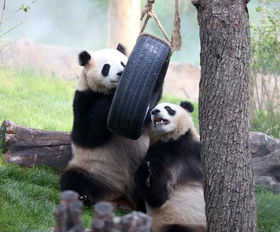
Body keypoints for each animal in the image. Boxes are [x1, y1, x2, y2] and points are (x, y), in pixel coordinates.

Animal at [60, 44, 150, 211]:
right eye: (106, 67)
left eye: (123, 63)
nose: (121, 73)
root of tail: (122, 196)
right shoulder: (82, 98)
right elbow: (85, 134)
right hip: (93, 170)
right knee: (73, 180)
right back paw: (83, 197)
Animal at [133, 101, 206, 232]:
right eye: (151, 110)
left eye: (168, 108)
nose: (155, 111)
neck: (172, 141)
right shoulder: (157, 155)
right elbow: (157, 198)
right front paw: (147, 175)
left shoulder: (194, 148)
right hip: (176, 223)